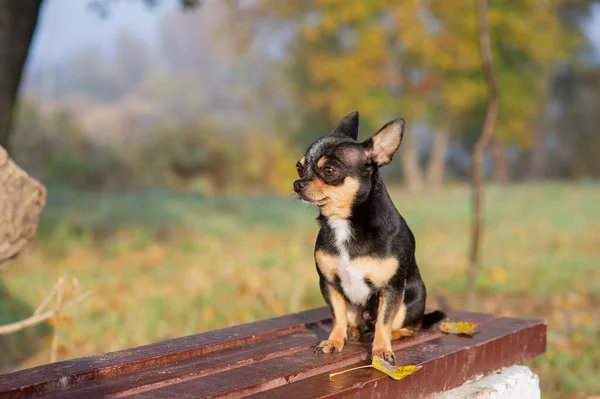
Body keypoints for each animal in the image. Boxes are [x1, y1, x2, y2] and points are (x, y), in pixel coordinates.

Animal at [292, 111, 442, 364]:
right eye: (299, 168)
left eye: (329, 170)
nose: (297, 184)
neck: (344, 222)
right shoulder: (329, 284)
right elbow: (337, 316)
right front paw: (334, 341)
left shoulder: (391, 290)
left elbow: (384, 322)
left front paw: (381, 349)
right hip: (355, 306)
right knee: (355, 321)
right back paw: (352, 332)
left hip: (409, 302)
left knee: (407, 327)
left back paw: (391, 334)